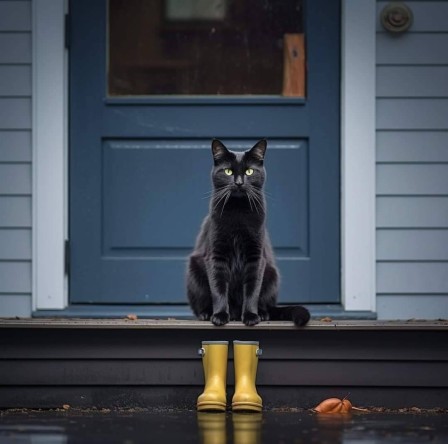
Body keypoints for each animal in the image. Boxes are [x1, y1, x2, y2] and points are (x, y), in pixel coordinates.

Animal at [185, 139, 308, 326]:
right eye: (228, 171)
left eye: (249, 171)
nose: (239, 183)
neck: (238, 212)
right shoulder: (215, 255)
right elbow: (218, 288)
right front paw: (220, 316)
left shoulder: (256, 257)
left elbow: (252, 290)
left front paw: (250, 316)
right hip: (194, 273)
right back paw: (207, 313)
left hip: (272, 275)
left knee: (265, 304)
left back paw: (262, 314)